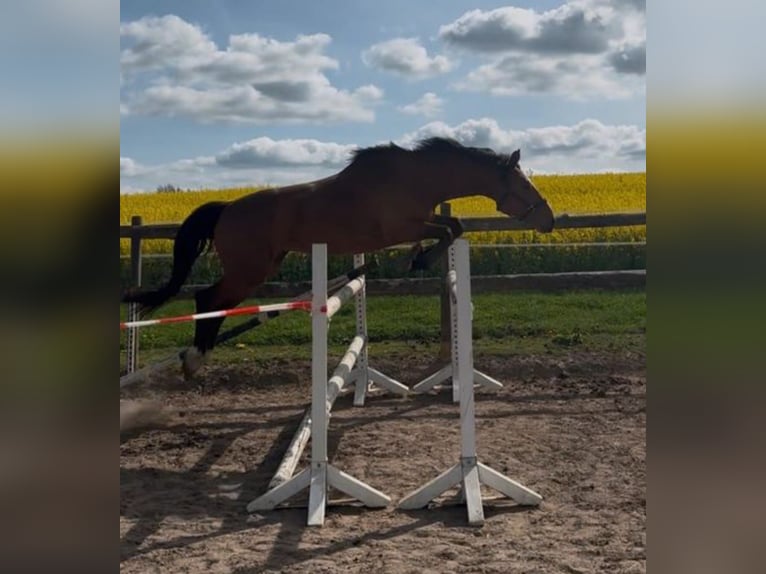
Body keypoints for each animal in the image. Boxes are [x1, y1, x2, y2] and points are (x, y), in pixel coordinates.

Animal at [122, 137, 555, 377]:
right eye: (523, 185)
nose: (549, 221)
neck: (417, 177)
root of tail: (227, 208)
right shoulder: (402, 227)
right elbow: (450, 228)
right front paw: (417, 261)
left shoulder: (419, 221)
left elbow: (455, 225)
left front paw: (417, 260)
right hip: (250, 269)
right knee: (207, 299)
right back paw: (195, 359)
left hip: (262, 266)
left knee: (216, 303)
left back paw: (196, 359)